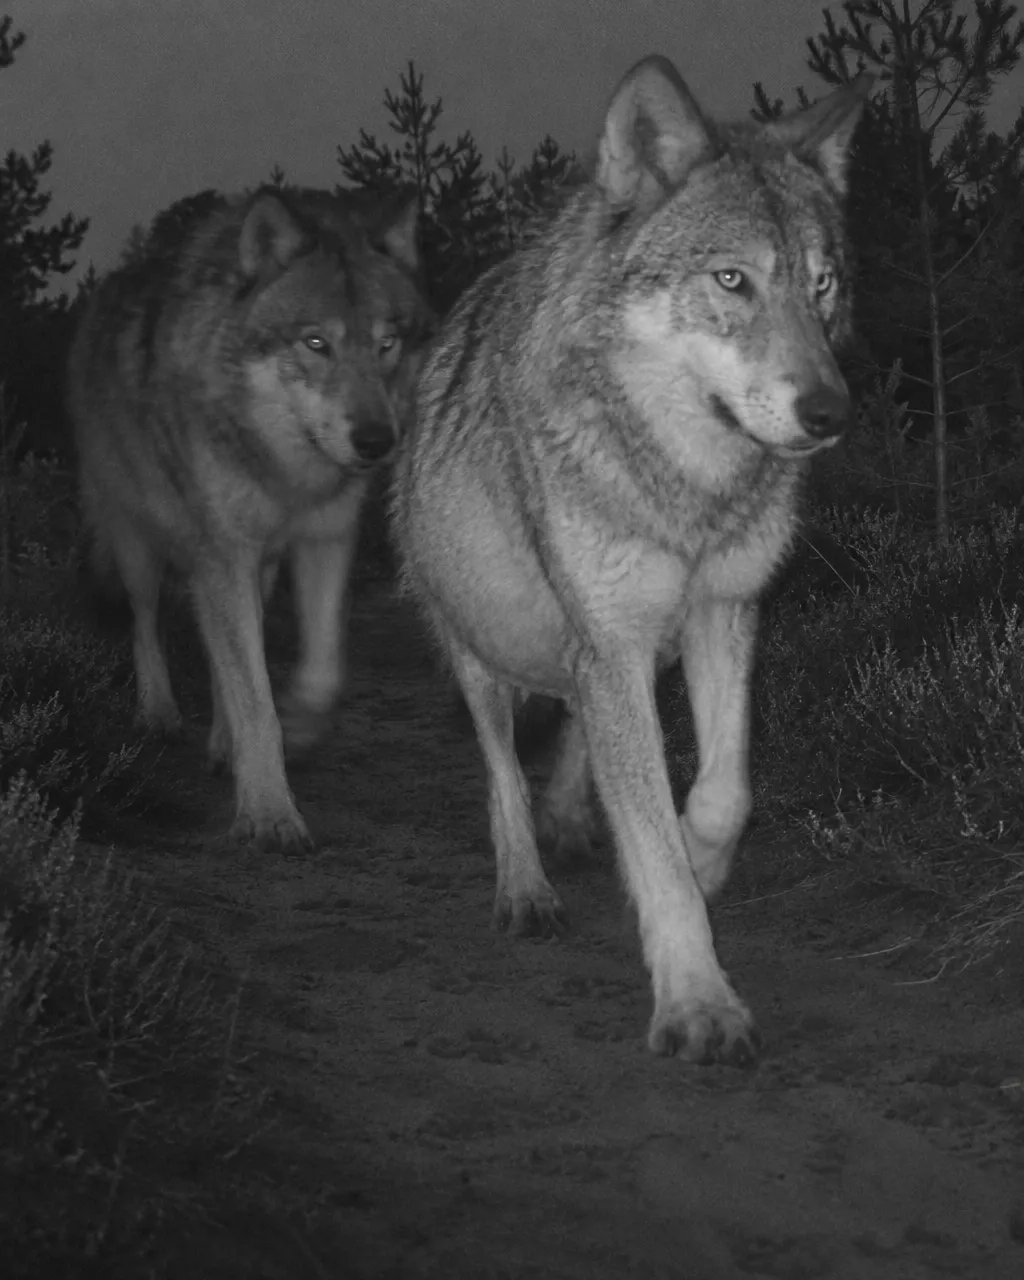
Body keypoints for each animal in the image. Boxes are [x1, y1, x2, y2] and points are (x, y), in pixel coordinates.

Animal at [69, 186, 433, 851]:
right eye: (315, 344)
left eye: (387, 343)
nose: (375, 441)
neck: (285, 470)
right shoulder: (225, 553)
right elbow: (254, 700)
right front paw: (267, 813)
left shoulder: (323, 540)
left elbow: (319, 670)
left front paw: (300, 728)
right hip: (140, 546)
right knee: (146, 623)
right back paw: (159, 714)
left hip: (250, 570)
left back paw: (219, 739)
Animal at [392, 56, 870, 1064]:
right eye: (732, 280)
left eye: (822, 285)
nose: (831, 414)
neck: (688, 488)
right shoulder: (608, 640)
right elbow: (643, 828)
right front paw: (697, 1000)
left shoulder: (722, 612)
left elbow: (723, 793)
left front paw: (696, 859)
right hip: (478, 646)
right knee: (501, 774)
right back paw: (526, 888)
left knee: (576, 734)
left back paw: (575, 818)